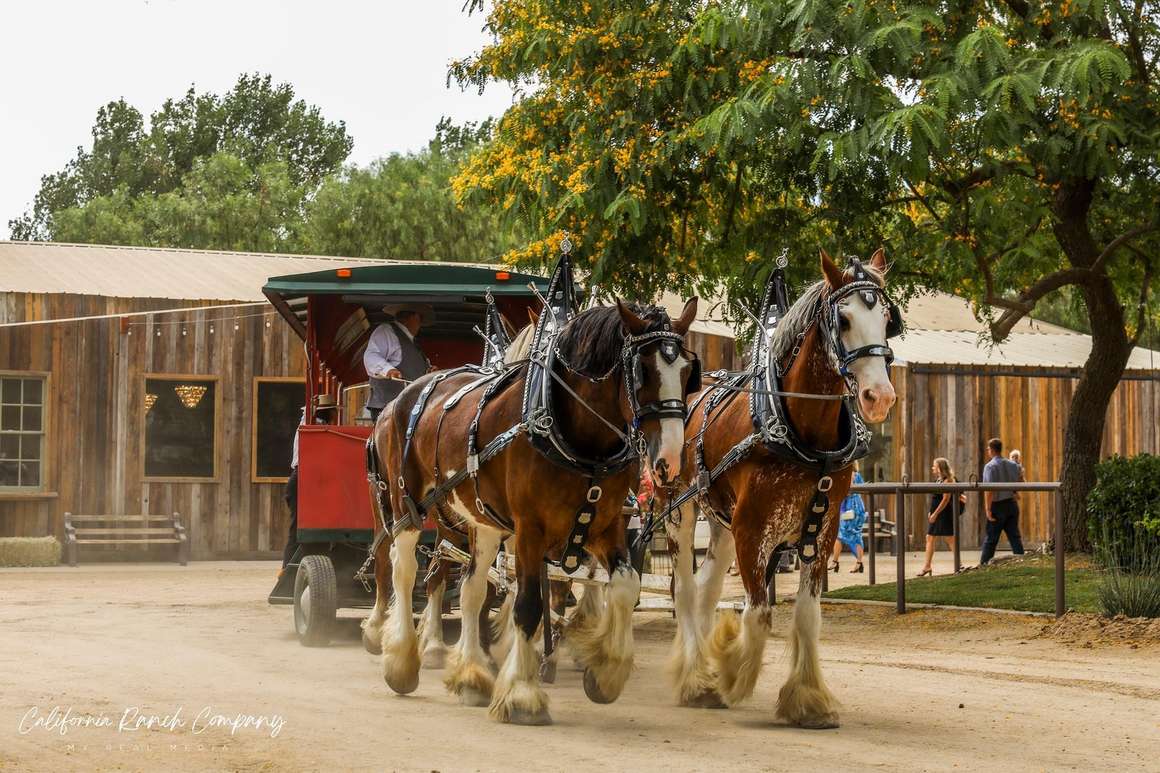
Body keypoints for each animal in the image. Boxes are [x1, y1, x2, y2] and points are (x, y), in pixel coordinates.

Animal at [373, 284, 696, 724]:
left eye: (687, 372)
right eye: (642, 371)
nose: (670, 461)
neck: (573, 434)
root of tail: (405, 395)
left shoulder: (606, 524)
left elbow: (625, 586)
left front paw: (605, 671)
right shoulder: (530, 529)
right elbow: (527, 604)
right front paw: (523, 694)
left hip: (483, 520)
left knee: (472, 587)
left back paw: (472, 675)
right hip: (407, 505)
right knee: (405, 571)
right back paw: (402, 660)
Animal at [668, 249, 900, 724]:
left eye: (888, 319)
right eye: (843, 319)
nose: (879, 397)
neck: (800, 430)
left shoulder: (822, 529)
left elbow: (808, 616)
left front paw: (807, 699)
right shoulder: (753, 529)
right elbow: (758, 612)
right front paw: (733, 676)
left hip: (720, 521)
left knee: (705, 589)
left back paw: (701, 668)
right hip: (679, 510)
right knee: (684, 589)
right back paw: (694, 677)